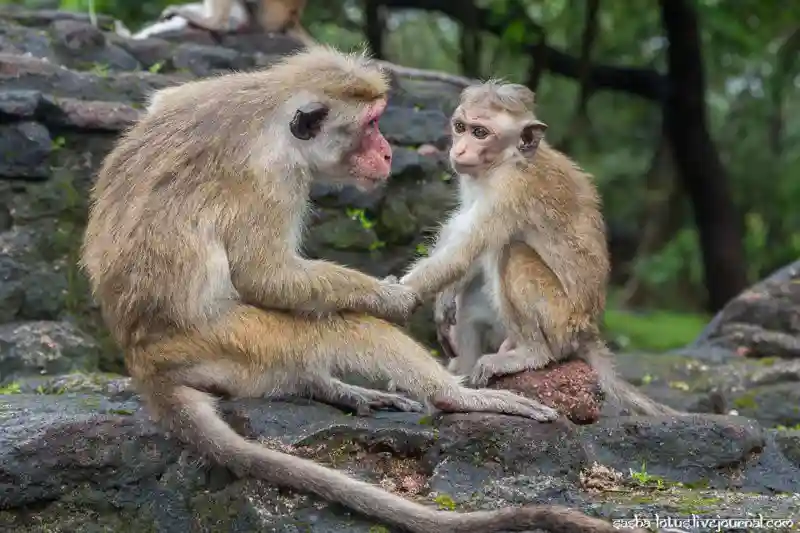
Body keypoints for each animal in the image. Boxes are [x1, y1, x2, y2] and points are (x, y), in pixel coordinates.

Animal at [83, 44, 632, 532]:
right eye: (370, 125)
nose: (387, 151)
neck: (270, 108)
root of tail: (146, 363)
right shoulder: (272, 175)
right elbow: (264, 273)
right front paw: (392, 297)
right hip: (228, 338)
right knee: (345, 329)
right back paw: (453, 397)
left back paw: (326, 386)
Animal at [400, 81, 680, 418]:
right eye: (461, 127)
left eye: (480, 133)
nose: (460, 149)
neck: (507, 159)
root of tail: (588, 330)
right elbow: (470, 248)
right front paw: (445, 296)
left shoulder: (510, 188)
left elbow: (465, 250)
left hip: (560, 322)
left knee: (511, 253)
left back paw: (531, 353)